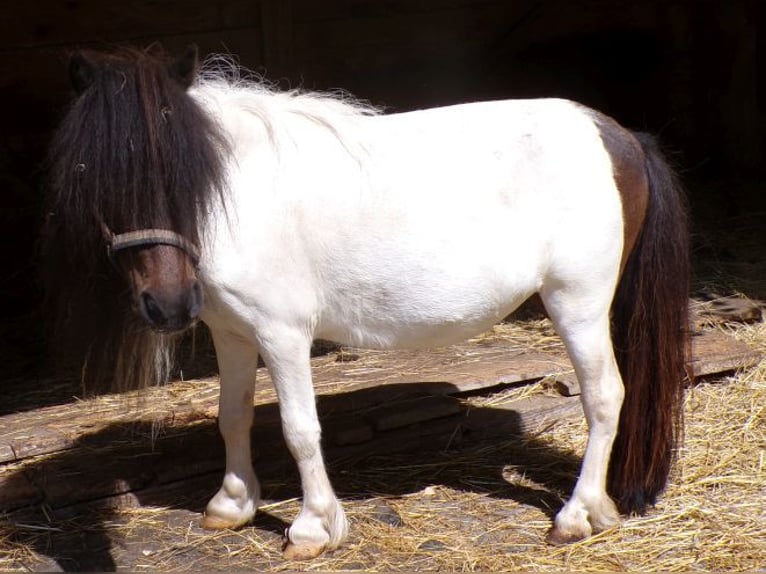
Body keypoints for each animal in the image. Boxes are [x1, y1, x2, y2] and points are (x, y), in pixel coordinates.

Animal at [41, 45, 690, 559]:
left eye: (185, 170)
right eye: (91, 172)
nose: (169, 306)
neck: (233, 198)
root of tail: (620, 137)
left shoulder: (282, 334)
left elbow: (300, 429)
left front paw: (312, 528)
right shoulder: (232, 333)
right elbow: (233, 416)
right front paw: (232, 504)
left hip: (577, 304)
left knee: (604, 398)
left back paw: (575, 517)